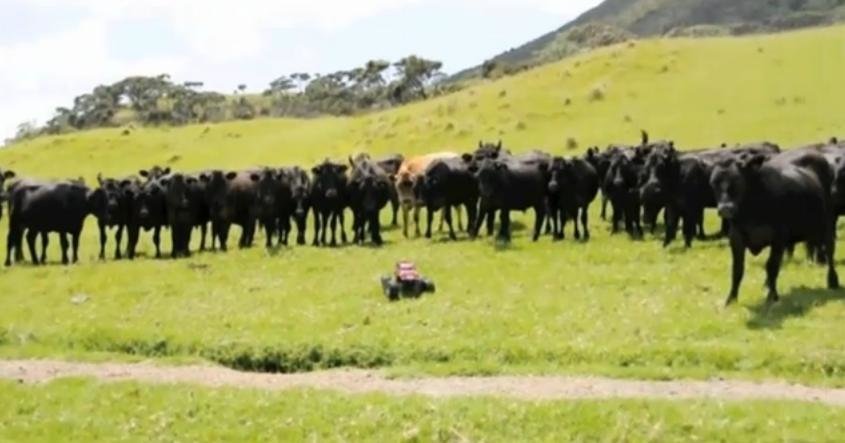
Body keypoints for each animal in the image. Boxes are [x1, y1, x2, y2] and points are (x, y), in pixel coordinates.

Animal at [712, 151, 836, 306]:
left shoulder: (778, 238)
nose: (725, 209)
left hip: (828, 224)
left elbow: (771, 266)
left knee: (830, 252)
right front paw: (731, 299)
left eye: (737, 181)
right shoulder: (736, 238)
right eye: (714, 183)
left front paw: (772, 296)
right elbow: (737, 270)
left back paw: (833, 281)